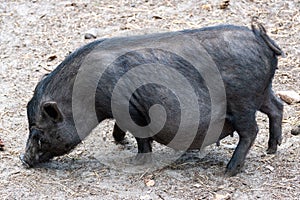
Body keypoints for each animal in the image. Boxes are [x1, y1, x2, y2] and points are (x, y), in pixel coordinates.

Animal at [20, 21, 284, 176]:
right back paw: (272, 150)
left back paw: (229, 171)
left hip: (243, 101)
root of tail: (260, 37)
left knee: (251, 131)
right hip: (263, 92)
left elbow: (141, 137)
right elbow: (123, 129)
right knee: (276, 108)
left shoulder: (131, 110)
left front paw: (135, 161)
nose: (23, 159)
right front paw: (119, 142)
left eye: (38, 132)